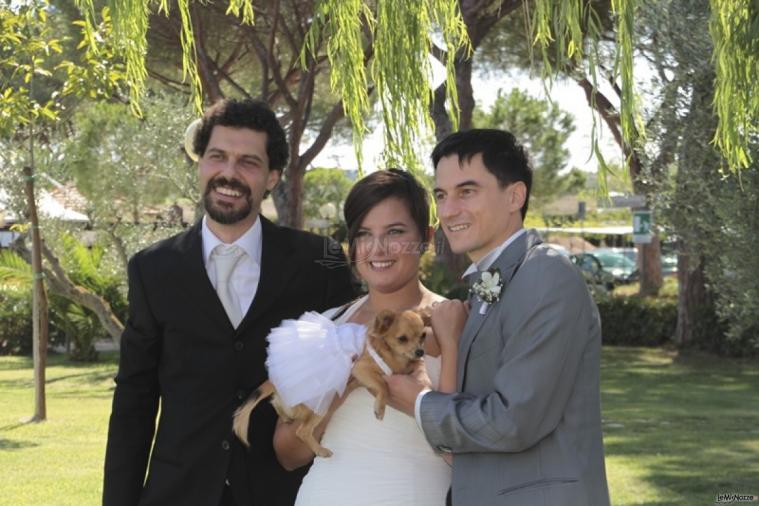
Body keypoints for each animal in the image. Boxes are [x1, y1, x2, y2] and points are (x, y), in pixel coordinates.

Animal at [232, 308, 428, 458]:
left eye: (423, 336)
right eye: (402, 339)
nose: (420, 352)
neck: (389, 351)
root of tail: (275, 379)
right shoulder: (360, 368)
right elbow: (383, 385)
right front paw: (380, 407)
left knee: (277, 405)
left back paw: (286, 417)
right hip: (321, 405)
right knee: (302, 431)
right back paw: (320, 450)